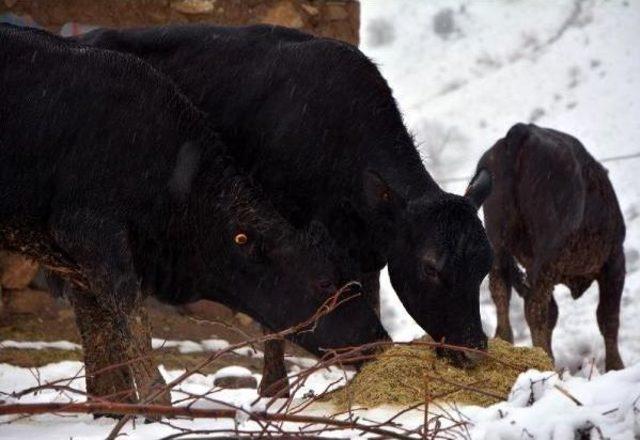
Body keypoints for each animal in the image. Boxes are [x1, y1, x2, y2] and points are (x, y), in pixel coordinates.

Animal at [472, 122, 628, 370]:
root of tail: (522, 131)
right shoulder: (614, 260)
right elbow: (608, 317)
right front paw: (616, 366)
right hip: (547, 256)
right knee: (534, 307)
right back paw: (542, 359)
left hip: (498, 241)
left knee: (501, 291)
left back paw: (506, 343)